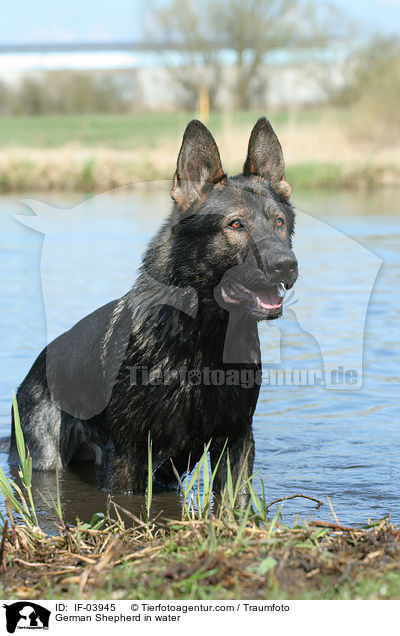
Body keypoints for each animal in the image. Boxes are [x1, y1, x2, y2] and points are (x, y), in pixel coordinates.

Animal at [7, 118, 296, 492]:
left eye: (279, 224)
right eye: (236, 224)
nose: (287, 265)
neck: (201, 341)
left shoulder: (236, 441)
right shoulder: (129, 454)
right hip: (45, 459)